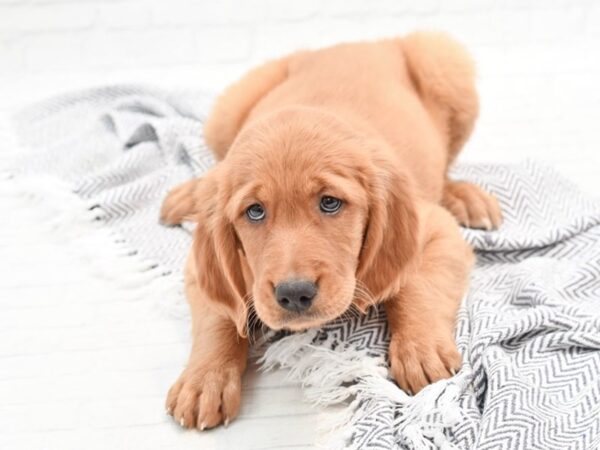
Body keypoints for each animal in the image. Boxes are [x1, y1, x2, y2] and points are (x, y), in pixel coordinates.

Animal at [161, 31, 502, 428]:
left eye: (329, 203)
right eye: (255, 211)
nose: (295, 294)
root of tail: (367, 41)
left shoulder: (436, 230)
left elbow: (419, 286)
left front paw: (421, 347)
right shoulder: (201, 268)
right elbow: (218, 317)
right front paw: (205, 379)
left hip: (445, 63)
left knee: (446, 165)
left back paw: (464, 195)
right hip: (227, 112)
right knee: (218, 163)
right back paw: (194, 191)